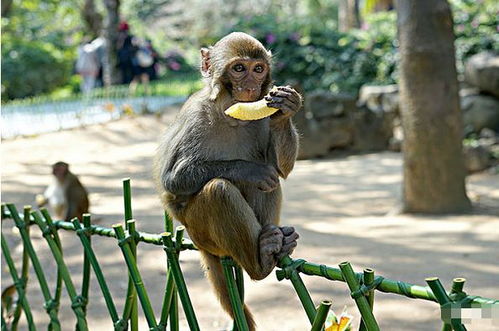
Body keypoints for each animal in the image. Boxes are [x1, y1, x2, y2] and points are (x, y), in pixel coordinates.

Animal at [153, 31, 300, 331]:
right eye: (239, 69)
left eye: (259, 69)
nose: (251, 86)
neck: (229, 113)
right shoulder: (195, 117)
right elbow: (173, 179)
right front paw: (249, 171)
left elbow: (280, 169)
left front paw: (286, 110)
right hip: (200, 232)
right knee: (220, 189)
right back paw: (260, 262)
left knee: (272, 180)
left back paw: (276, 243)